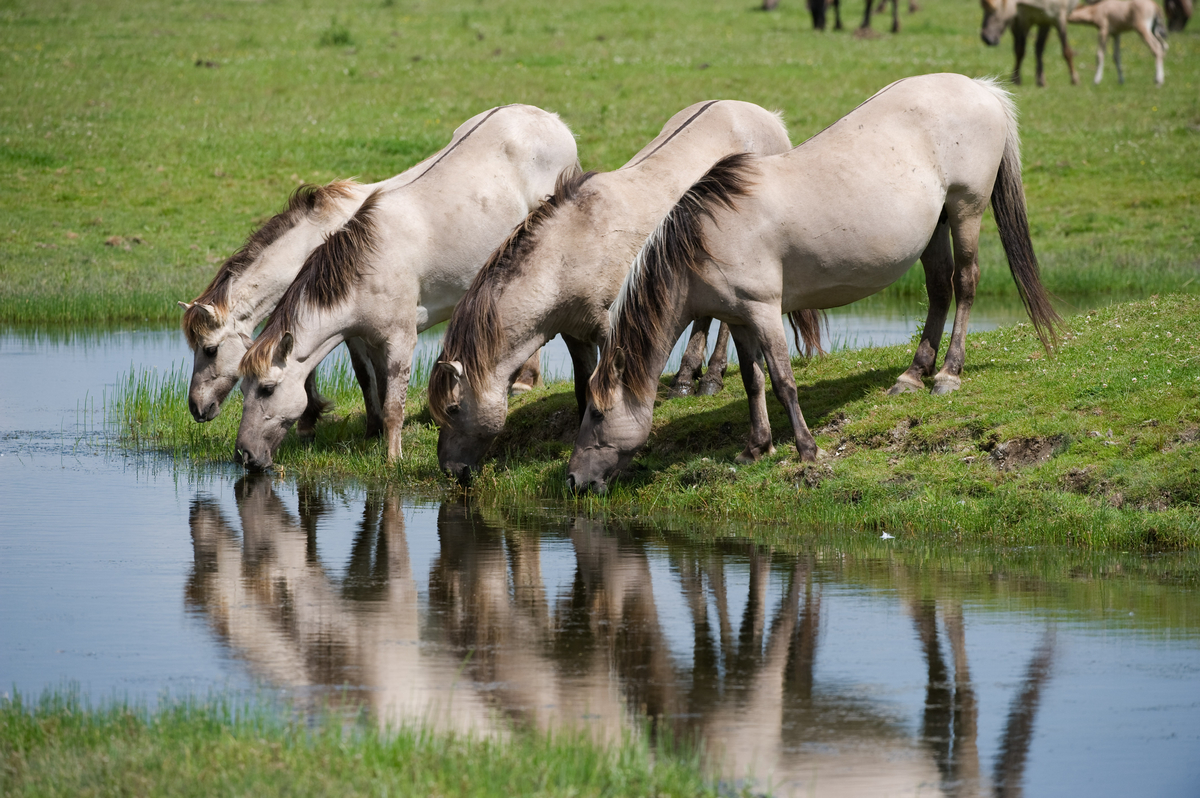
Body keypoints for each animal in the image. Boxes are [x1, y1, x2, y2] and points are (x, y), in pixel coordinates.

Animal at [232, 104, 578, 470]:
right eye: (242, 390)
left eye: (267, 389)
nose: (245, 454)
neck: (366, 270)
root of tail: (550, 119)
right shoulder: (369, 341)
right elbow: (376, 390)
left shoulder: (400, 341)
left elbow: (393, 407)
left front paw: (392, 459)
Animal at [428, 100, 793, 487]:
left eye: (453, 407)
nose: (451, 470)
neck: (570, 250)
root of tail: (769, 118)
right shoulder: (576, 334)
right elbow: (582, 389)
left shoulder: (611, 331)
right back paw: (684, 379)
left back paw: (710, 379)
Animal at [566, 74, 1061, 495]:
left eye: (596, 413)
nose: (573, 480)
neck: (703, 239)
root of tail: (979, 87)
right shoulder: (739, 318)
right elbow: (753, 381)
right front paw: (756, 448)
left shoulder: (764, 310)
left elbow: (783, 380)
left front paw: (806, 449)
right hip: (936, 225)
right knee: (939, 289)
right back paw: (912, 374)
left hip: (966, 209)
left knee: (965, 282)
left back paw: (948, 374)